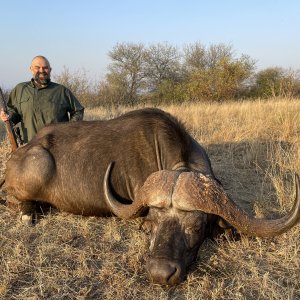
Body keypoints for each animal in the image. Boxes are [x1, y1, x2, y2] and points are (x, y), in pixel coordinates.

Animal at [2, 107, 300, 284]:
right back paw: (29, 213)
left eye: (195, 226)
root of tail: (22, 152)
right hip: (38, 165)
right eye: (151, 225)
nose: (160, 273)